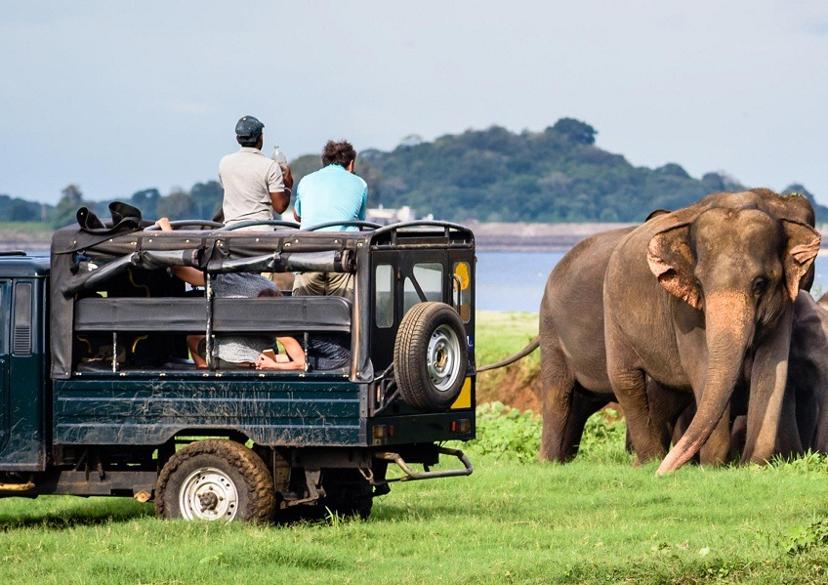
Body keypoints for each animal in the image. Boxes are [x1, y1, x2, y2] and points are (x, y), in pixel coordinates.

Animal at [603, 190, 819, 474]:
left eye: (760, 284)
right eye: (699, 284)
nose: (663, 474)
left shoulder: (785, 303)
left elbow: (772, 367)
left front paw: (752, 465)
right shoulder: (683, 309)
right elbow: (702, 366)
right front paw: (714, 467)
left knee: (664, 393)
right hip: (612, 313)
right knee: (625, 380)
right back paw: (649, 462)